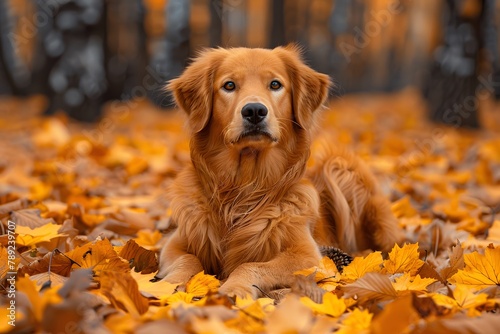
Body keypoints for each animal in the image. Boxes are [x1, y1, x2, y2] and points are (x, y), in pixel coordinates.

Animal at [158, 45, 404, 298]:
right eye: (229, 85)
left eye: (275, 84)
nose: (254, 111)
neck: (244, 187)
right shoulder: (174, 243)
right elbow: (188, 260)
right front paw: (169, 285)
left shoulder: (306, 256)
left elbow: (249, 264)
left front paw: (235, 287)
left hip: (340, 165)